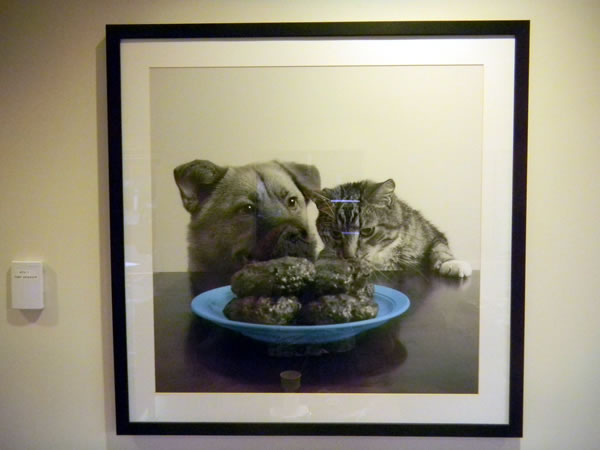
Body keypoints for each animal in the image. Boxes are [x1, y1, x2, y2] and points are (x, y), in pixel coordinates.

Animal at [312, 178, 472, 276]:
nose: (349, 256)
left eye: (367, 231)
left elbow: (440, 248)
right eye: (335, 233)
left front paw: (451, 263)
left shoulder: (432, 233)